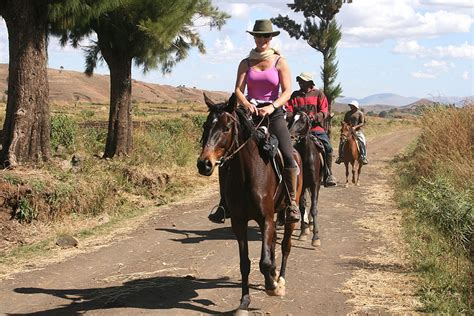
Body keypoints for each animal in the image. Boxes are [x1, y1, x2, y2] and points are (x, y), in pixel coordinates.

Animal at [197, 93, 304, 314]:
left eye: (226, 128)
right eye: (205, 125)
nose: (204, 164)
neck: (247, 173)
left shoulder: (266, 219)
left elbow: (263, 261)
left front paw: (272, 286)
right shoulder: (239, 222)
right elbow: (245, 263)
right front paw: (244, 301)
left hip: (287, 214)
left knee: (285, 246)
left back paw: (280, 280)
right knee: (273, 244)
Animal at [286, 111, 324, 247]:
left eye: (303, 121)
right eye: (292, 119)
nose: (291, 135)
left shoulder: (315, 184)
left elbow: (314, 208)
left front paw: (316, 237)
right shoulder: (302, 186)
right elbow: (302, 207)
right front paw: (303, 231)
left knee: (314, 203)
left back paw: (311, 224)